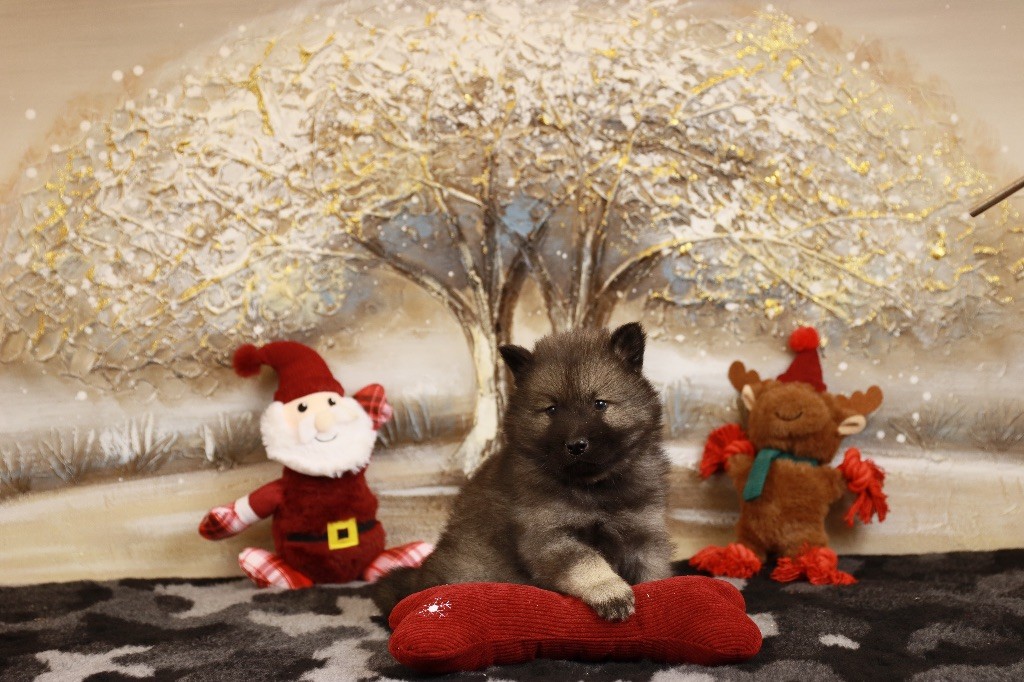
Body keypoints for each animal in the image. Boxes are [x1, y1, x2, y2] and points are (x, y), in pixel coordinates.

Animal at [373, 323, 673, 621]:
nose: (576, 445)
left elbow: (655, 574)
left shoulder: (643, 537)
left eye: (599, 404)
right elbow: (587, 562)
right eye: (552, 409)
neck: (594, 487)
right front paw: (610, 591)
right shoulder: (550, 537)